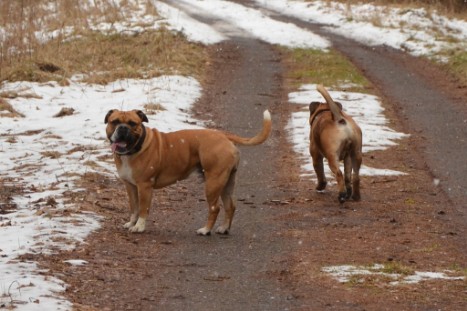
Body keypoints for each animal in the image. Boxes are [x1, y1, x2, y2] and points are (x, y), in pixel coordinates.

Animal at [103, 109, 270, 234]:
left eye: (132, 123)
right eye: (114, 121)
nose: (123, 128)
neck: (135, 148)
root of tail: (224, 136)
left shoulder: (145, 187)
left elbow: (143, 208)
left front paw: (139, 227)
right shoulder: (130, 186)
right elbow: (134, 207)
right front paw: (132, 223)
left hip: (213, 183)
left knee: (215, 208)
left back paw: (205, 230)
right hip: (227, 183)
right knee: (230, 205)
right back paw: (223, 229)